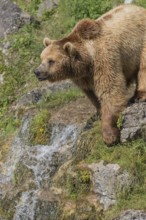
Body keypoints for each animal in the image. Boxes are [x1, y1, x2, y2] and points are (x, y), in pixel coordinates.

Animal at [34, 4, 146, 145]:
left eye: (51, 61)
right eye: (41, 58)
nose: (37, 72)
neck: (87, 60)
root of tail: (139, 7)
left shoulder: (104, 60)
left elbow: (110, 91)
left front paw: (109, 136)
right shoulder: (82, 77)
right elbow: (91, 94)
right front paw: (99, 113)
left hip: (141, 42)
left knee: (143, 67)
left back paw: (139, 96)